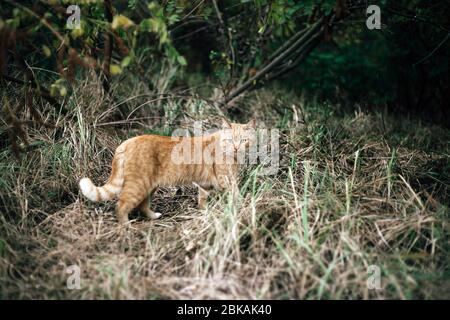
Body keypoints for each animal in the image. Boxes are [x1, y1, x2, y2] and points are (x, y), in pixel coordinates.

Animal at [78, 119, 255, 224]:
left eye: (244, 140)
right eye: (230, 140)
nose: (236, 148)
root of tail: (127, 141)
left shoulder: (204, 184)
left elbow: (202, 199)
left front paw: (204, 212)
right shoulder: (226, 179)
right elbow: (236, 194)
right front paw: (242, 208)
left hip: (148, 186)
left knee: (142, 206)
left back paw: (153, 216)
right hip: (138, 185)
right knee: (121, 205)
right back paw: (126, 225)